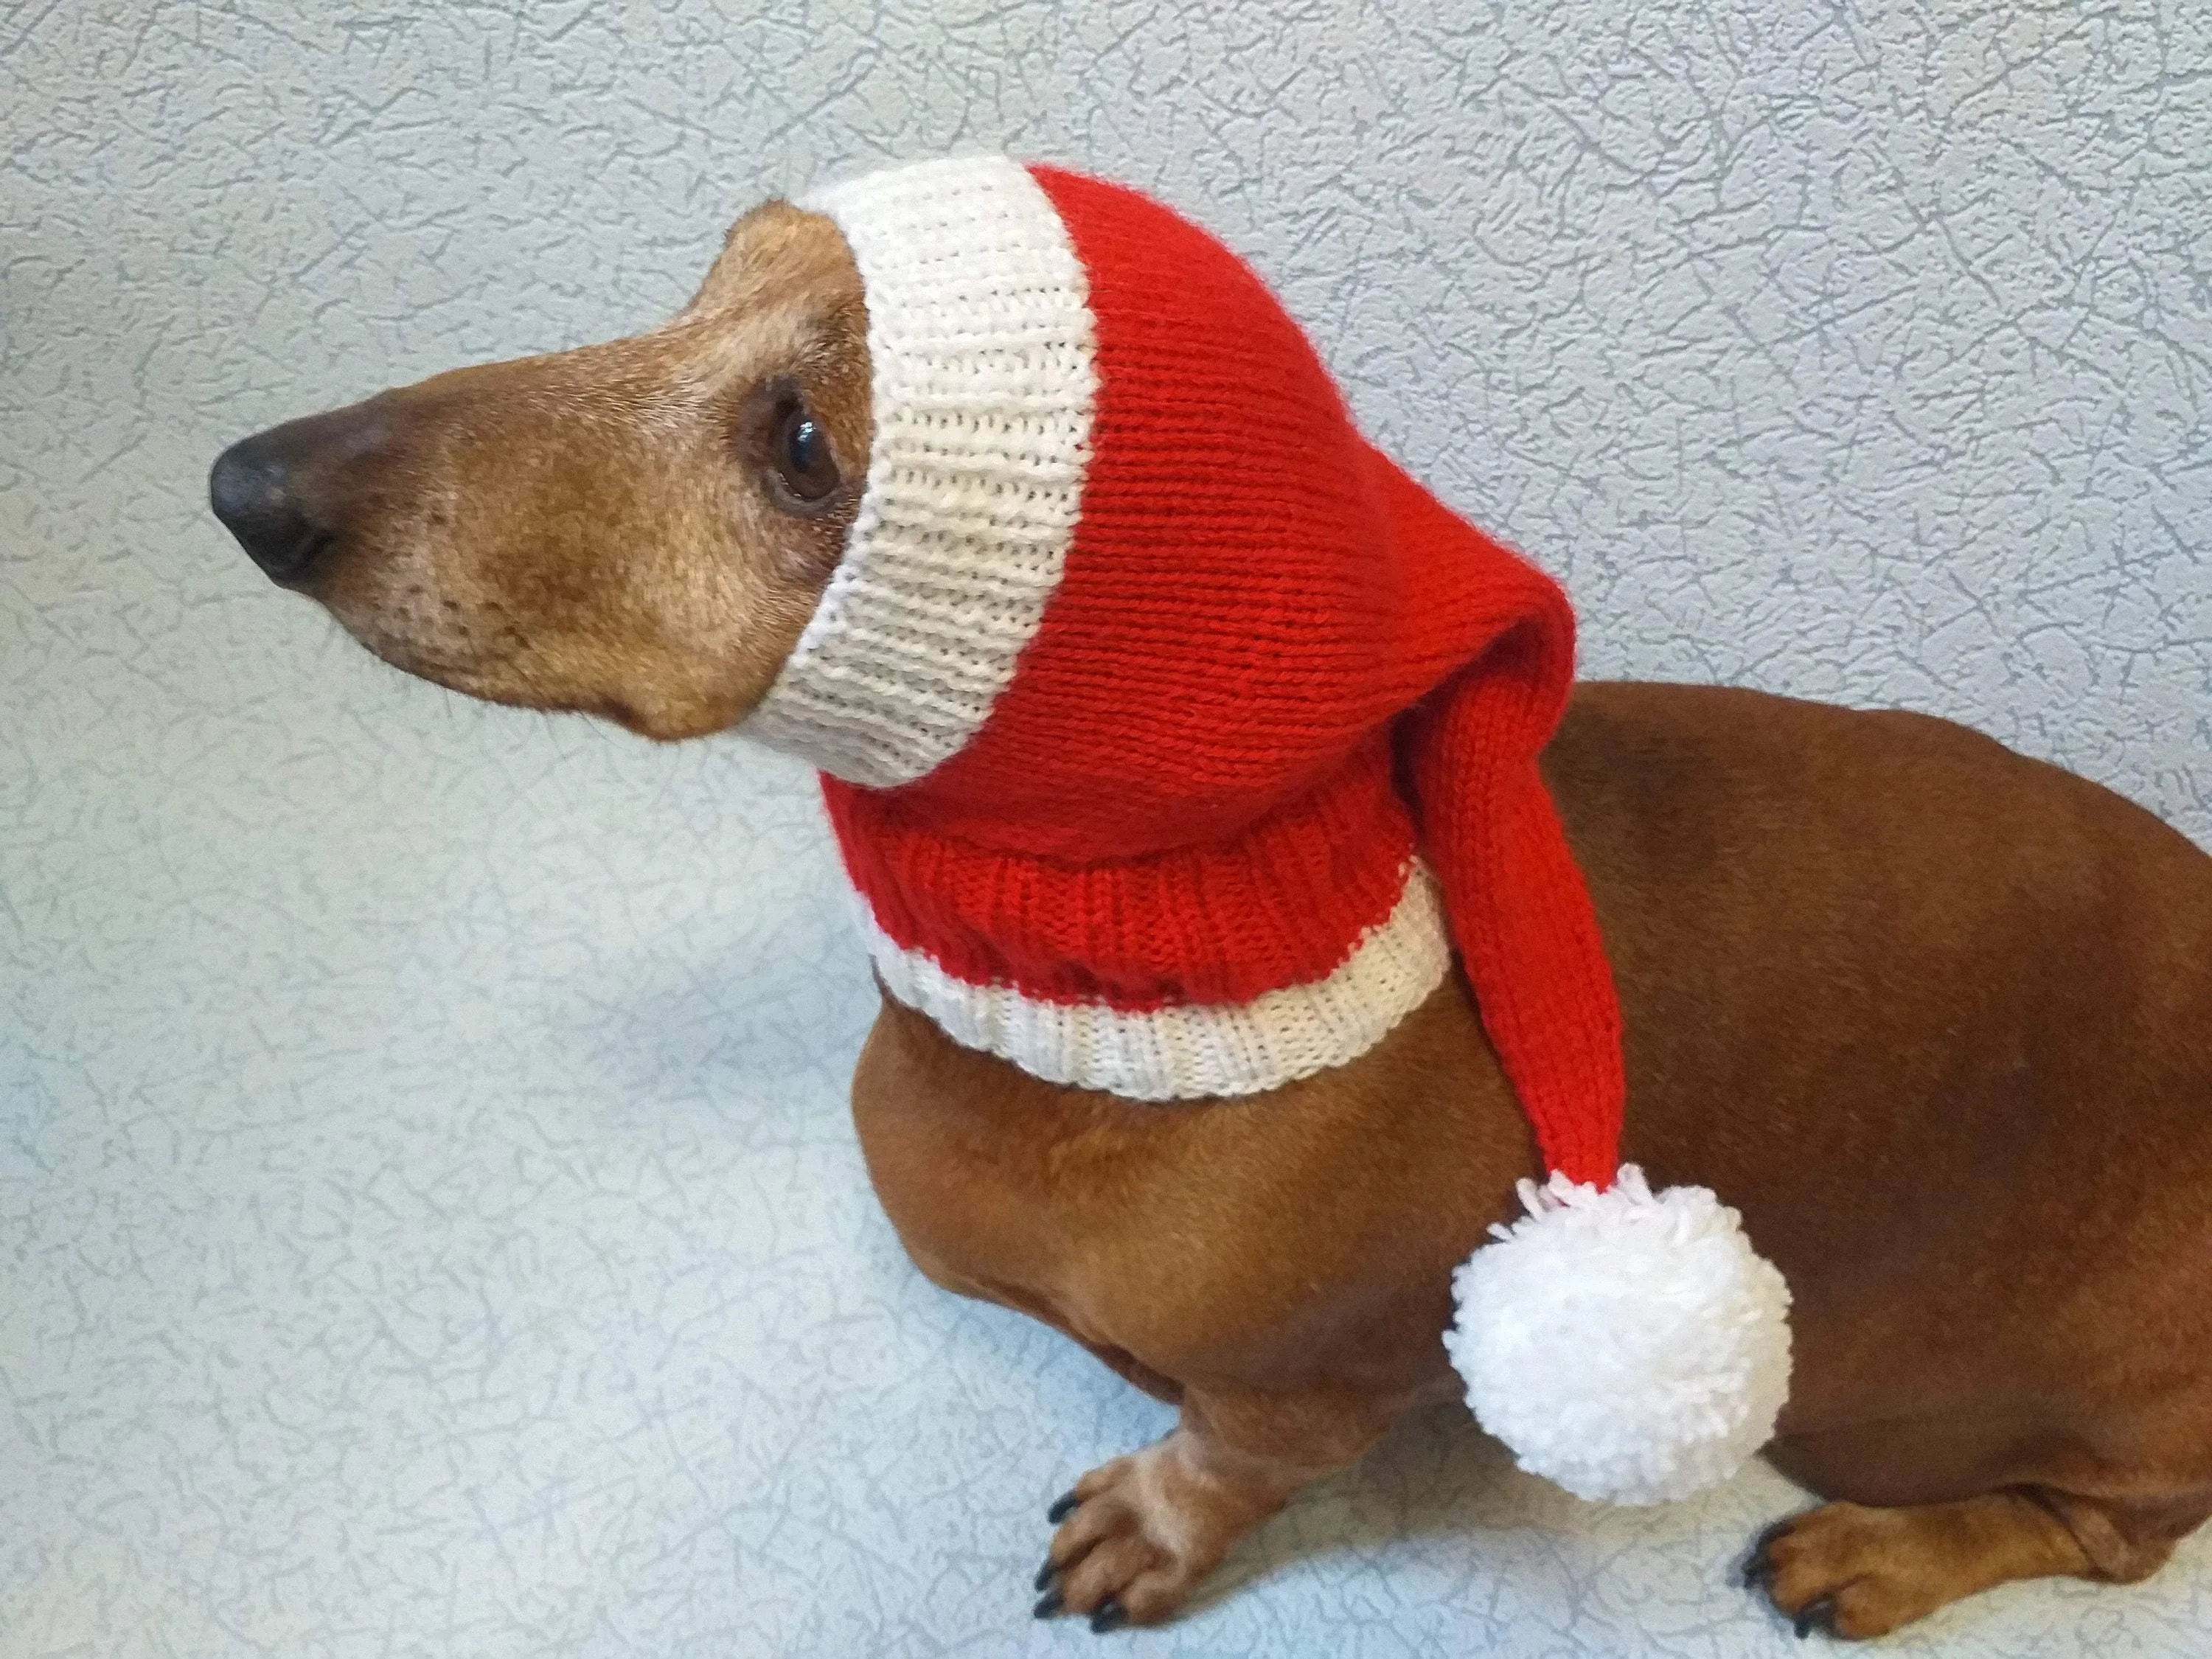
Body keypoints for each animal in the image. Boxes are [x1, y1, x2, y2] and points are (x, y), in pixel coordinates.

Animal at [211, 198, 2212, 1655]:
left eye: (800, 445)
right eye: (705, 283)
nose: (250, 487)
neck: (1138, 1020)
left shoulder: (1321, 1390)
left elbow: (1232, 1459)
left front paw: (1151, 1523)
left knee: (2114, 1537)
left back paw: (1875, 1554)